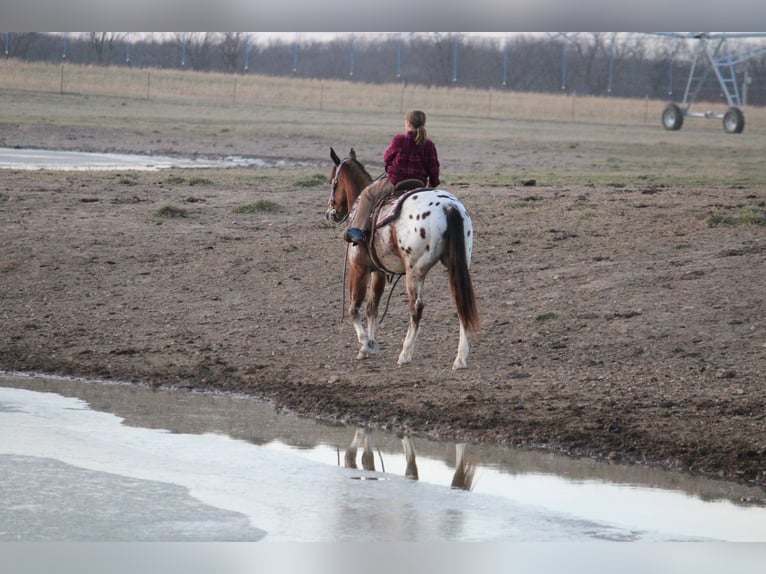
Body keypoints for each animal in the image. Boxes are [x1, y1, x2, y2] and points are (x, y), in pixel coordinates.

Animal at [326, 147, 479, 370]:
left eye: (332, 181)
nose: (330, 213)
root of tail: (449, 207)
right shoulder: (379, 272)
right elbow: (372, 307)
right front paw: (372, 343)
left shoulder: (359, 267)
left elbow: (354, 308)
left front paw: (365, 345)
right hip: (456, 266)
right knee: (461, 302)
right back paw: (460, 358)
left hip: (414, 271)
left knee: (416, 308)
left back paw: (405, 353)